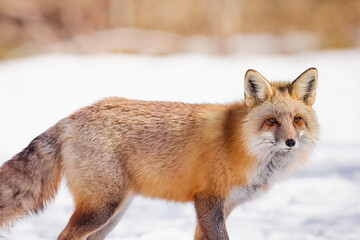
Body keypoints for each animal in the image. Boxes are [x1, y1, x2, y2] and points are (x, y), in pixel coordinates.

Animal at [0, 68, 318, 239]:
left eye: (297, 120)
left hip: (111, 214)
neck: (240, 143)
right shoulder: (208, 202)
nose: (290, 142)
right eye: (272, 121)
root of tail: (71, 117)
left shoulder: (220, 208)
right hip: (101, 208)